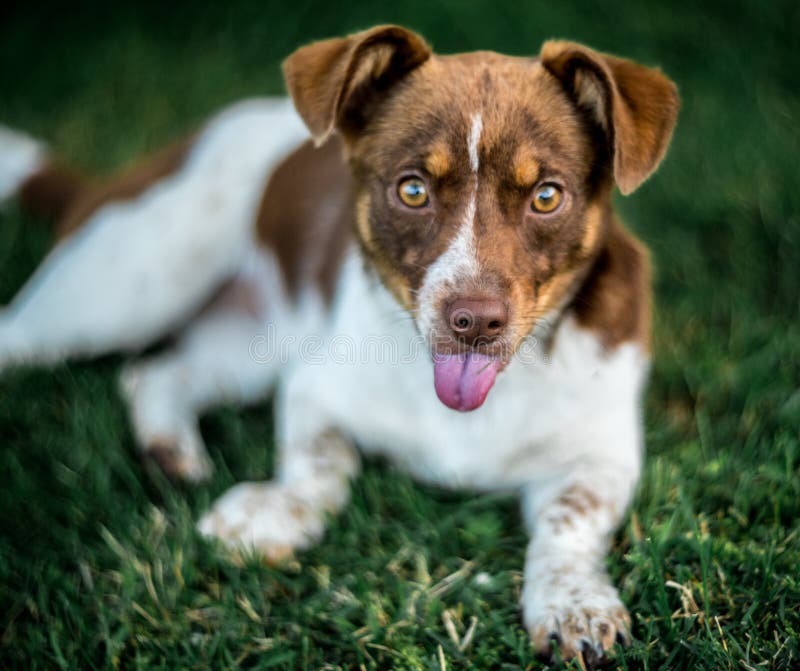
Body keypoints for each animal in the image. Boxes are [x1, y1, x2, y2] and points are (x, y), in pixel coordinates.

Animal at [0, 27, 680, 668]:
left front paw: (575, 605)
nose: (474, 322)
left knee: (155, 373)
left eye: (547, 196)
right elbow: (320, 468)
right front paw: (269, 514)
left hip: (247, 348)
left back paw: (171, 450)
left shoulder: (605, 451)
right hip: (123, 294)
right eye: (412, 191)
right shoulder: (314, 387)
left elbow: (570, 519)